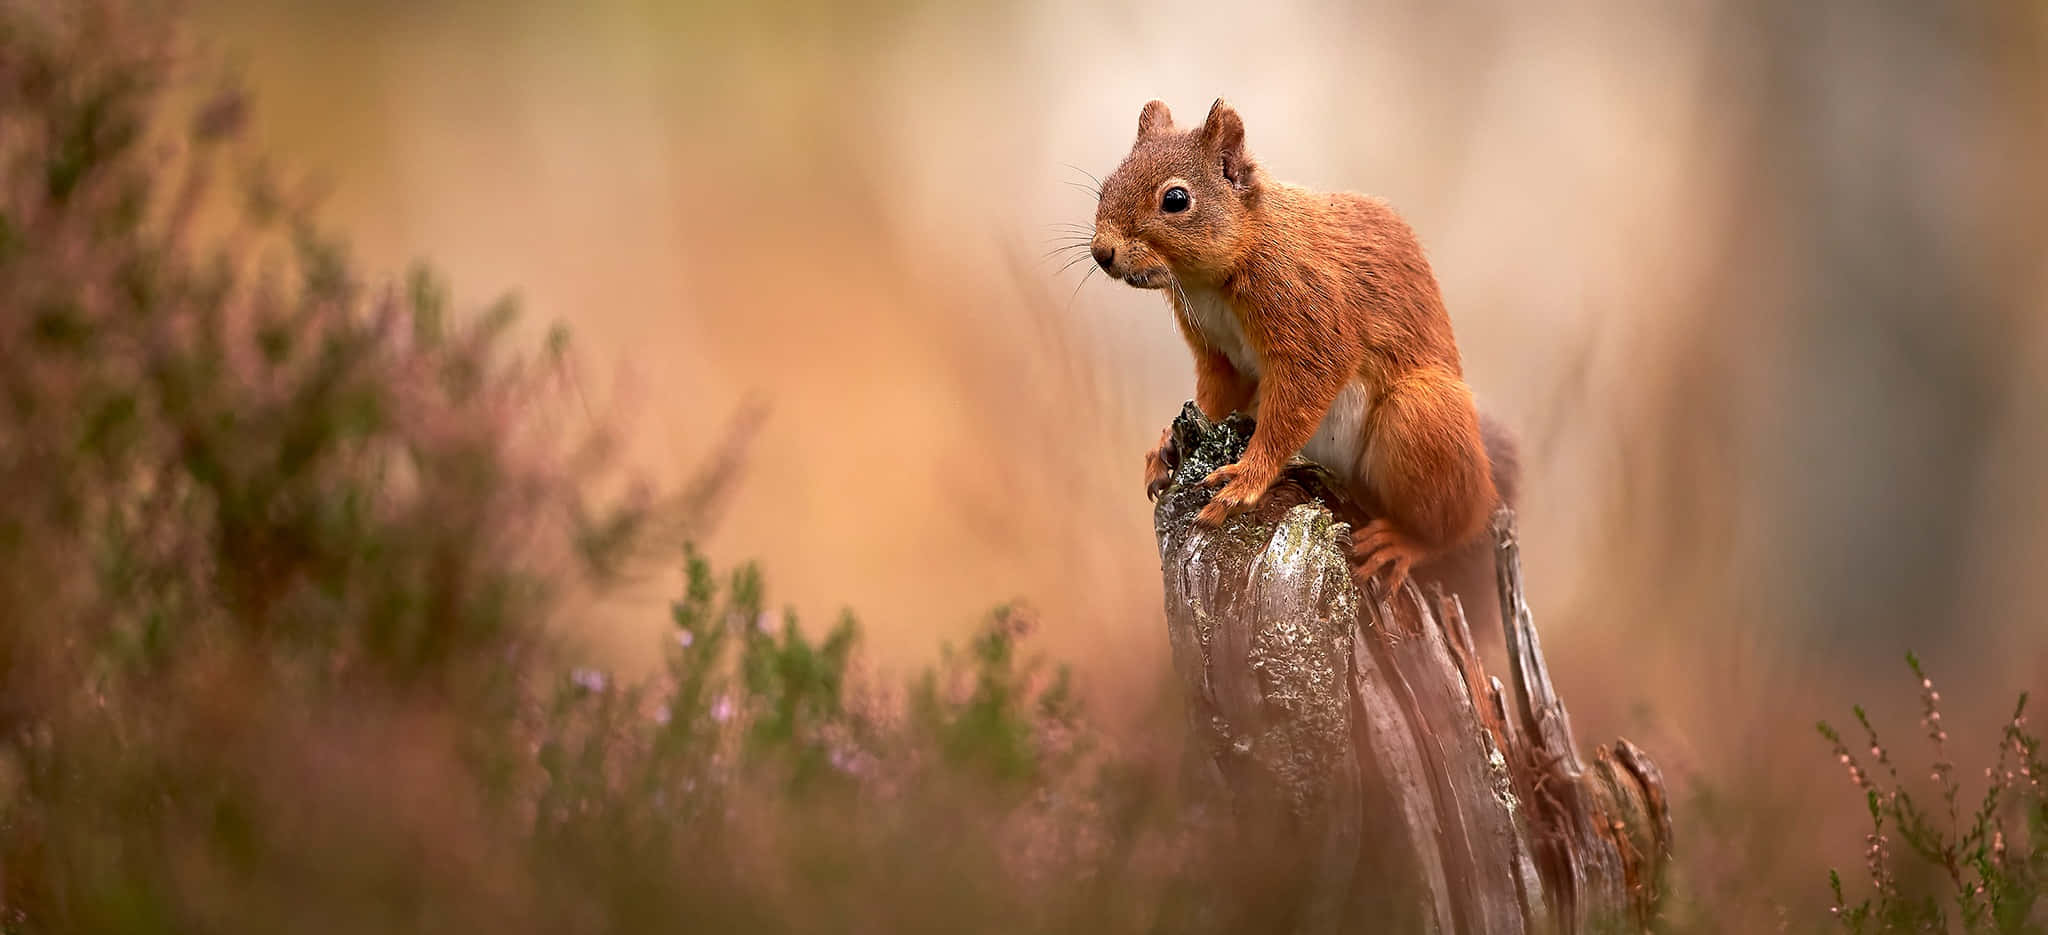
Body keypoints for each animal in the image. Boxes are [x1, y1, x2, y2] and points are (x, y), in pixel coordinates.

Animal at [1093, 98, 1516, 601]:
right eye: (1105, 185)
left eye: (1175, 200)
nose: (1101, 251)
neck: (1211, 281)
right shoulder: (1218, 354)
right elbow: (1214, 400)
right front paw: (1164, 449)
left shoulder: (1309, 315)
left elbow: (1294, 404)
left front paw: (1246, 479)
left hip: (1422, 416)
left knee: (1452, 528)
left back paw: (1403, 543)